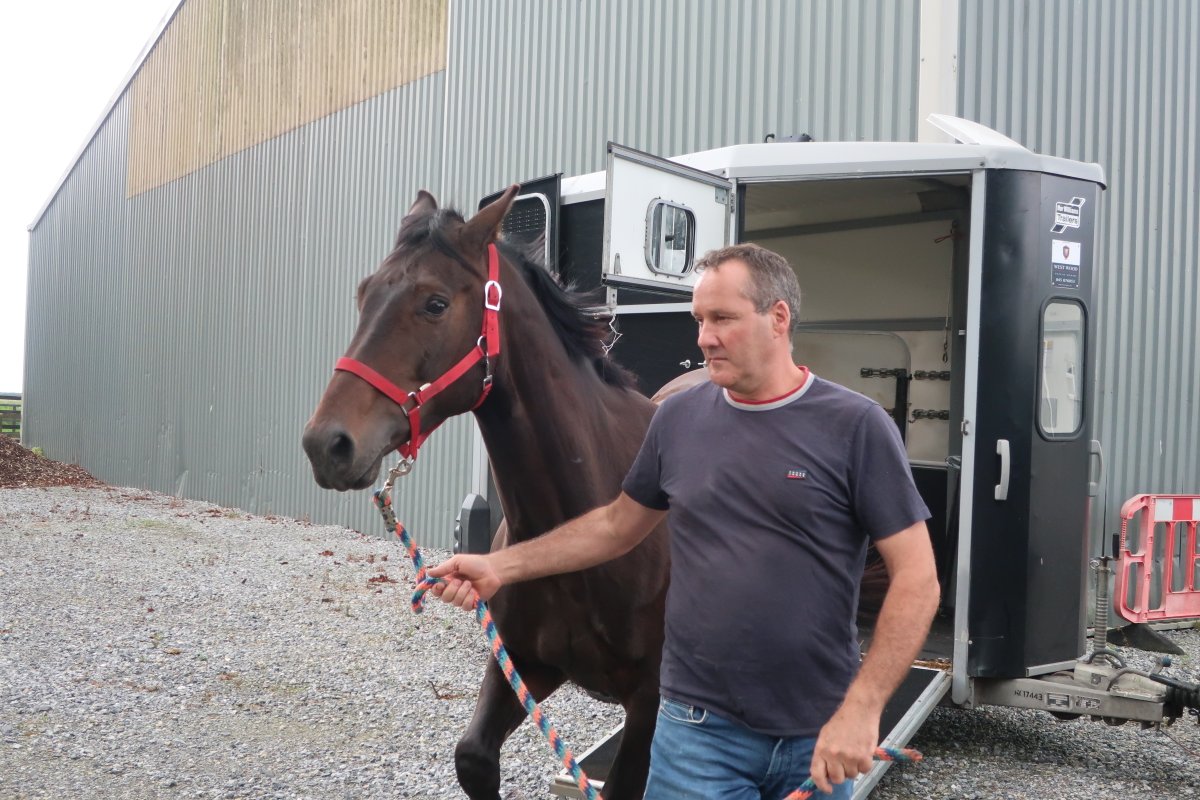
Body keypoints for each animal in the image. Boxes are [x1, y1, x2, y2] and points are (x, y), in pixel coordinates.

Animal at [302, 186, 669, 799]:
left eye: (435, 303)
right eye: (364, 293)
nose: (326, 444)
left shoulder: (651, 705)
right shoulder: (518, 662)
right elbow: (473, 757)